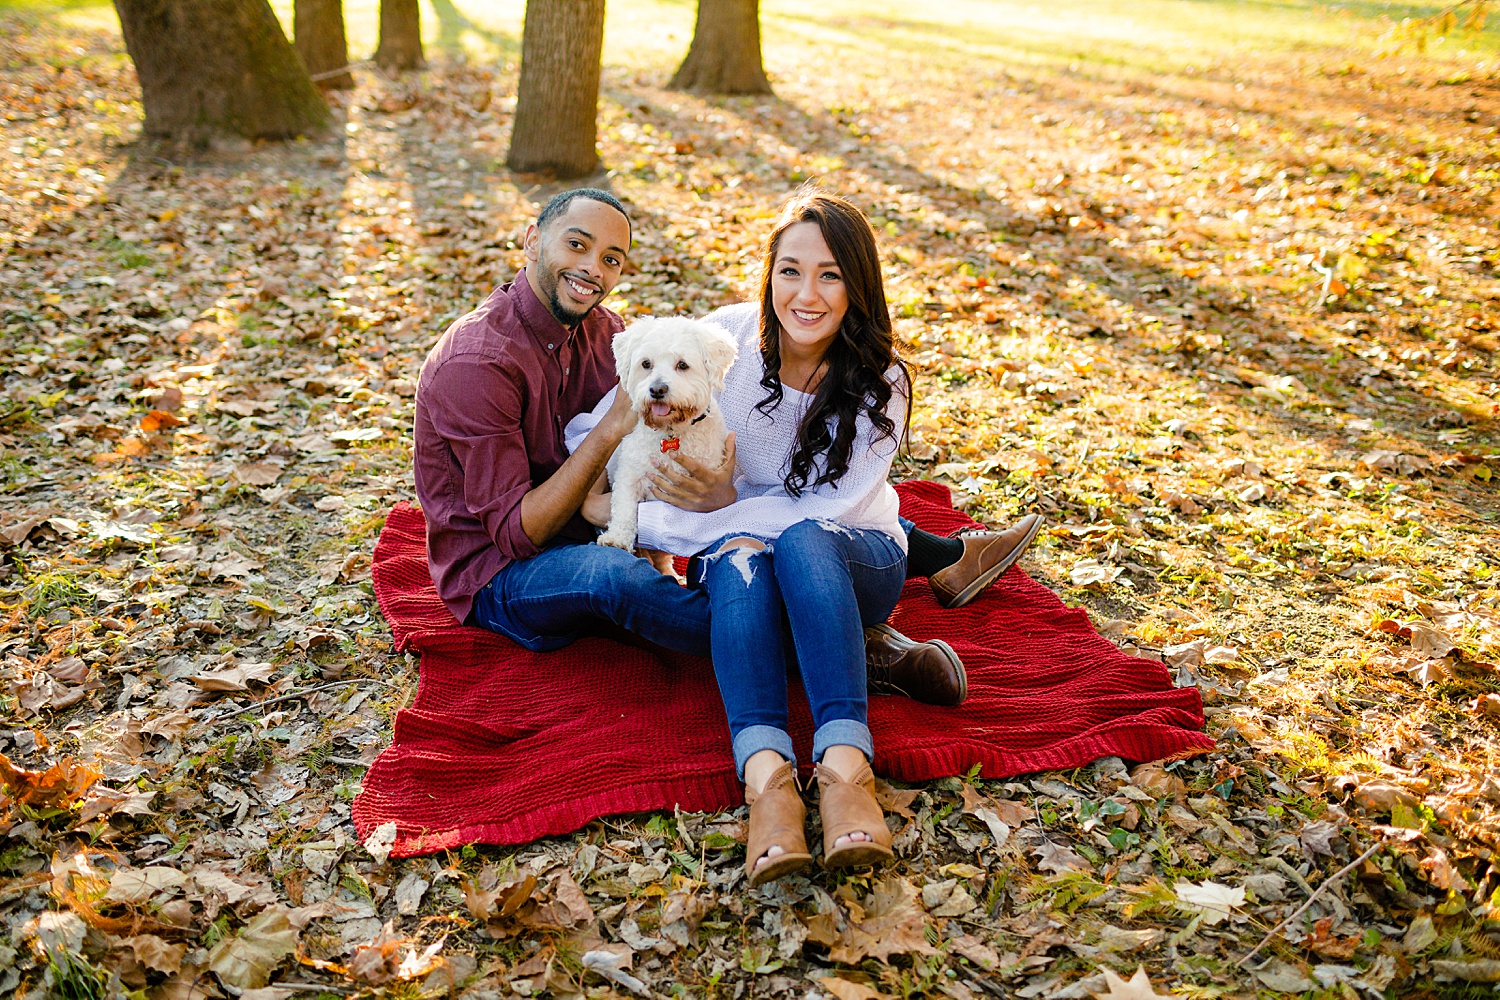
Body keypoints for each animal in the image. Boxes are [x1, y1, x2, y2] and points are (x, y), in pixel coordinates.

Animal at [597, 314, 738, 554]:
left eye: (682, 365)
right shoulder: (630, 475)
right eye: (646, 363)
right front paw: (617, 537)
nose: (657, 389)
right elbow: (624, 508)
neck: (671, 430)